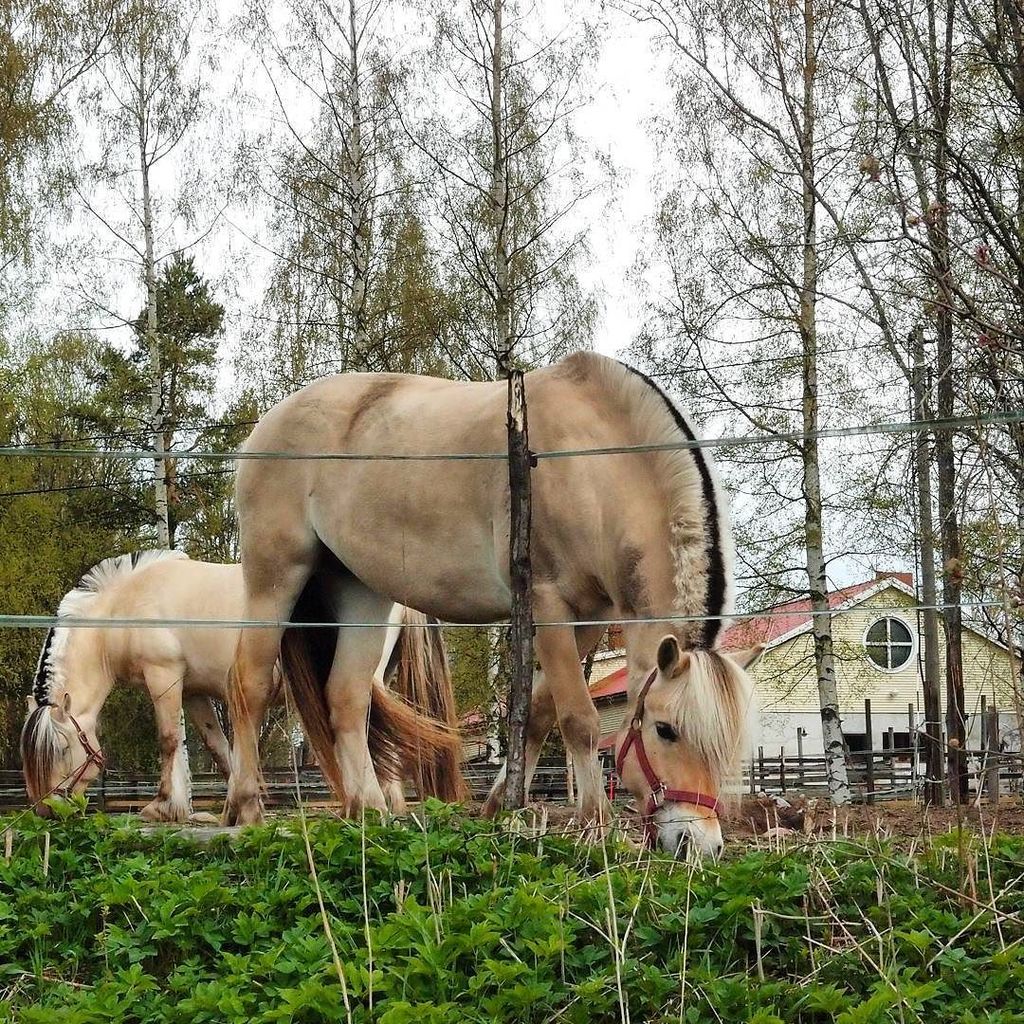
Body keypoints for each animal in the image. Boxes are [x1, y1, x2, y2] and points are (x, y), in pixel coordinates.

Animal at [20, 548, 460, 819]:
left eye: (61, 749)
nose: (46, 809)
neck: (126, 608)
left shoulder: (163, 676)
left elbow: (168, 741)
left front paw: (161, 806)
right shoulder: (194, 692)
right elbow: (217, 749)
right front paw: (239, 804)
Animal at [220, 352, 757, 856]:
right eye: (666, 730)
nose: (700, 844)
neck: (592, 464)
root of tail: (273, 421)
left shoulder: (589, 618)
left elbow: (539, 712)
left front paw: (498, 807)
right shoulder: (549, 606)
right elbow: (577, 719)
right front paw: (595, 826)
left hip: (361, 594)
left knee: (346, 699)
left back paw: (369, 812)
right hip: (276, 576)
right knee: (248, 684)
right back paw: (247, 809)